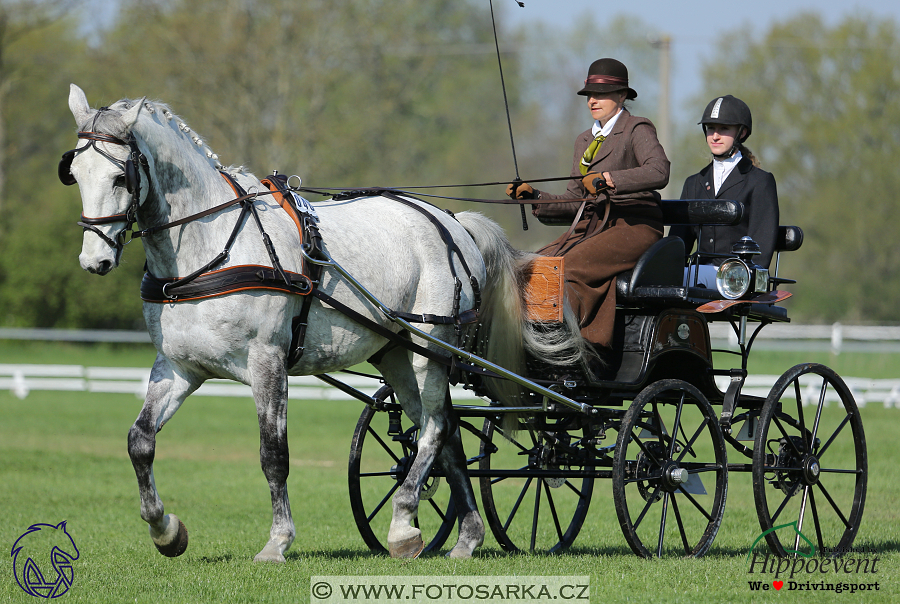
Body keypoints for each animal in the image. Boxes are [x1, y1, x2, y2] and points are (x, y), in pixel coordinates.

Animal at [63, 84, 584, 560]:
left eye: (120, 177)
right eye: (74, 173)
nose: (94, 260)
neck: (211, 249)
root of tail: (451, 221)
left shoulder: (267, 362)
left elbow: (273, 454)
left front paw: (277, 541)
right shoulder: (178, 367)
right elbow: (140, 441)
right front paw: (165, 531)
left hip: (433, 347)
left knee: (435, 428)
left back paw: (403, 525)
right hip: (397, 351)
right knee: (447, 434)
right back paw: (466, 536)